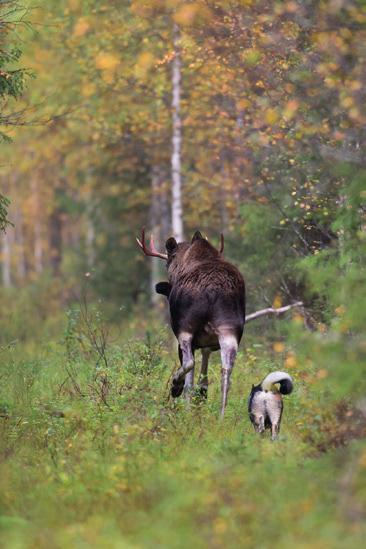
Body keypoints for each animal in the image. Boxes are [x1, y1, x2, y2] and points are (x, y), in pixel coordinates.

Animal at [137, 227, 246, 416]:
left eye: (167, 262)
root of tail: (213, 289)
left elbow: (192, 377)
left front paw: (179, 391)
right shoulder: (208, 345)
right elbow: (203, 382)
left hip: (185, 329)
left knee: (189, 365)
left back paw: (177, 388)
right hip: (230, 330)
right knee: (227, 372)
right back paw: (221, 416)